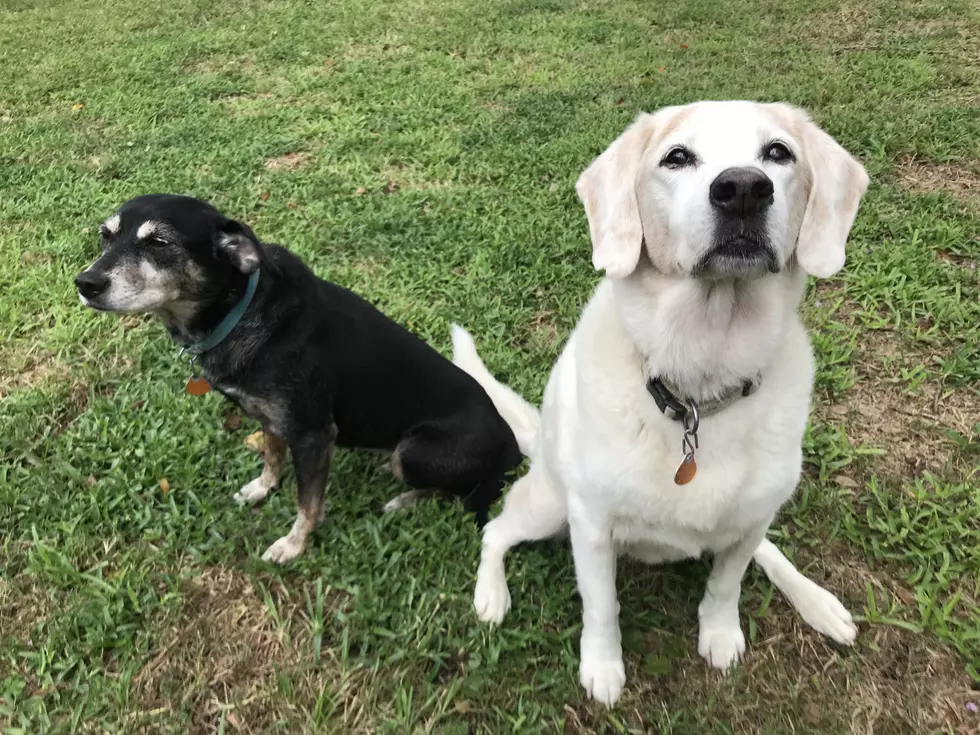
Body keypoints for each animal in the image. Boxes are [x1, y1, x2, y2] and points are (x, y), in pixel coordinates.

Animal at [75, 194, 520, 564]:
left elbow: (308, 504)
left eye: (159, 243)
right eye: (105, 236)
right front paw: (261, 488)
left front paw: (292, 545)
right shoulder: (270, 418)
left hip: (414, 451)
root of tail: (512, 445)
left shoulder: (313, 436)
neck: (240, 312)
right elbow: (273, 457)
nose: (85, 283)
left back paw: (403, 501)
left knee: (450, 488)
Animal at [448, 102, 868, 708]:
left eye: (778, 153)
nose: (744, 189)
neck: (699, 384)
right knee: (495, 533)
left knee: (769, 553)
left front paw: (720, 635)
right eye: (677, 157)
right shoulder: (591, 524)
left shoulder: (750, 522)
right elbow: (602, 606)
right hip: (549, 505)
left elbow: (727, 583)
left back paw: (818, 602)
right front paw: (602, 668)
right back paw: (491, 594)